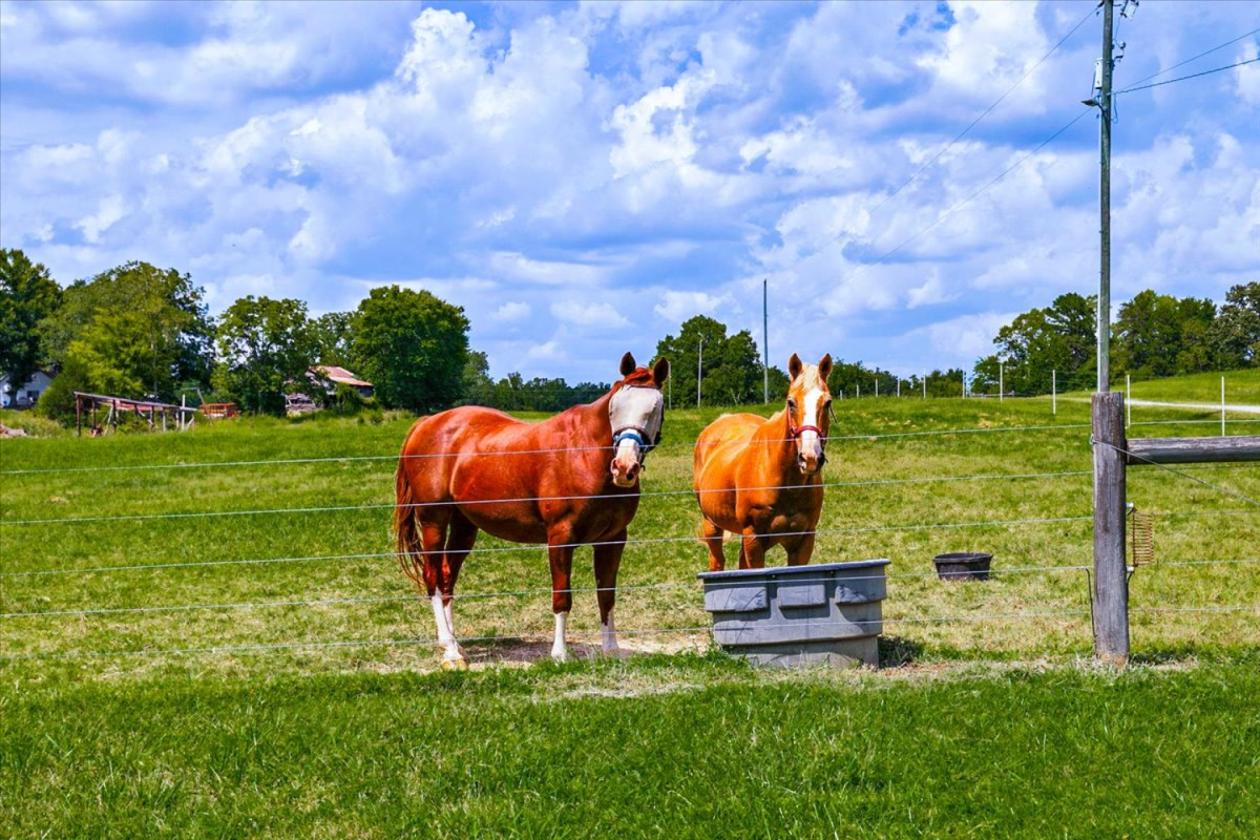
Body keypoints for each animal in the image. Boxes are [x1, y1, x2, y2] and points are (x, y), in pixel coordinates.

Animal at [394, 352, 669, 668]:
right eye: (616, 408)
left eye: (655, 408)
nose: (624, 467)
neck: (584, 454)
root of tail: (427, 423)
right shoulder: (560, 538)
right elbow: (562, 596)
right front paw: (560, 654)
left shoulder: (613, 540)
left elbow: (606, 594)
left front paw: (611, 650)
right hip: (433, 521)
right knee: (433, 579)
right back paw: (450, 652)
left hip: (463, 525)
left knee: (448, 574)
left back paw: (454, 644)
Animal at [692, 353, 833, 570]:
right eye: (791, 402)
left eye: (827, 403)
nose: (809, 457)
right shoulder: (754, 539)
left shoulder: (803, 541)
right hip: (712, 524)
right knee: (717, 561)